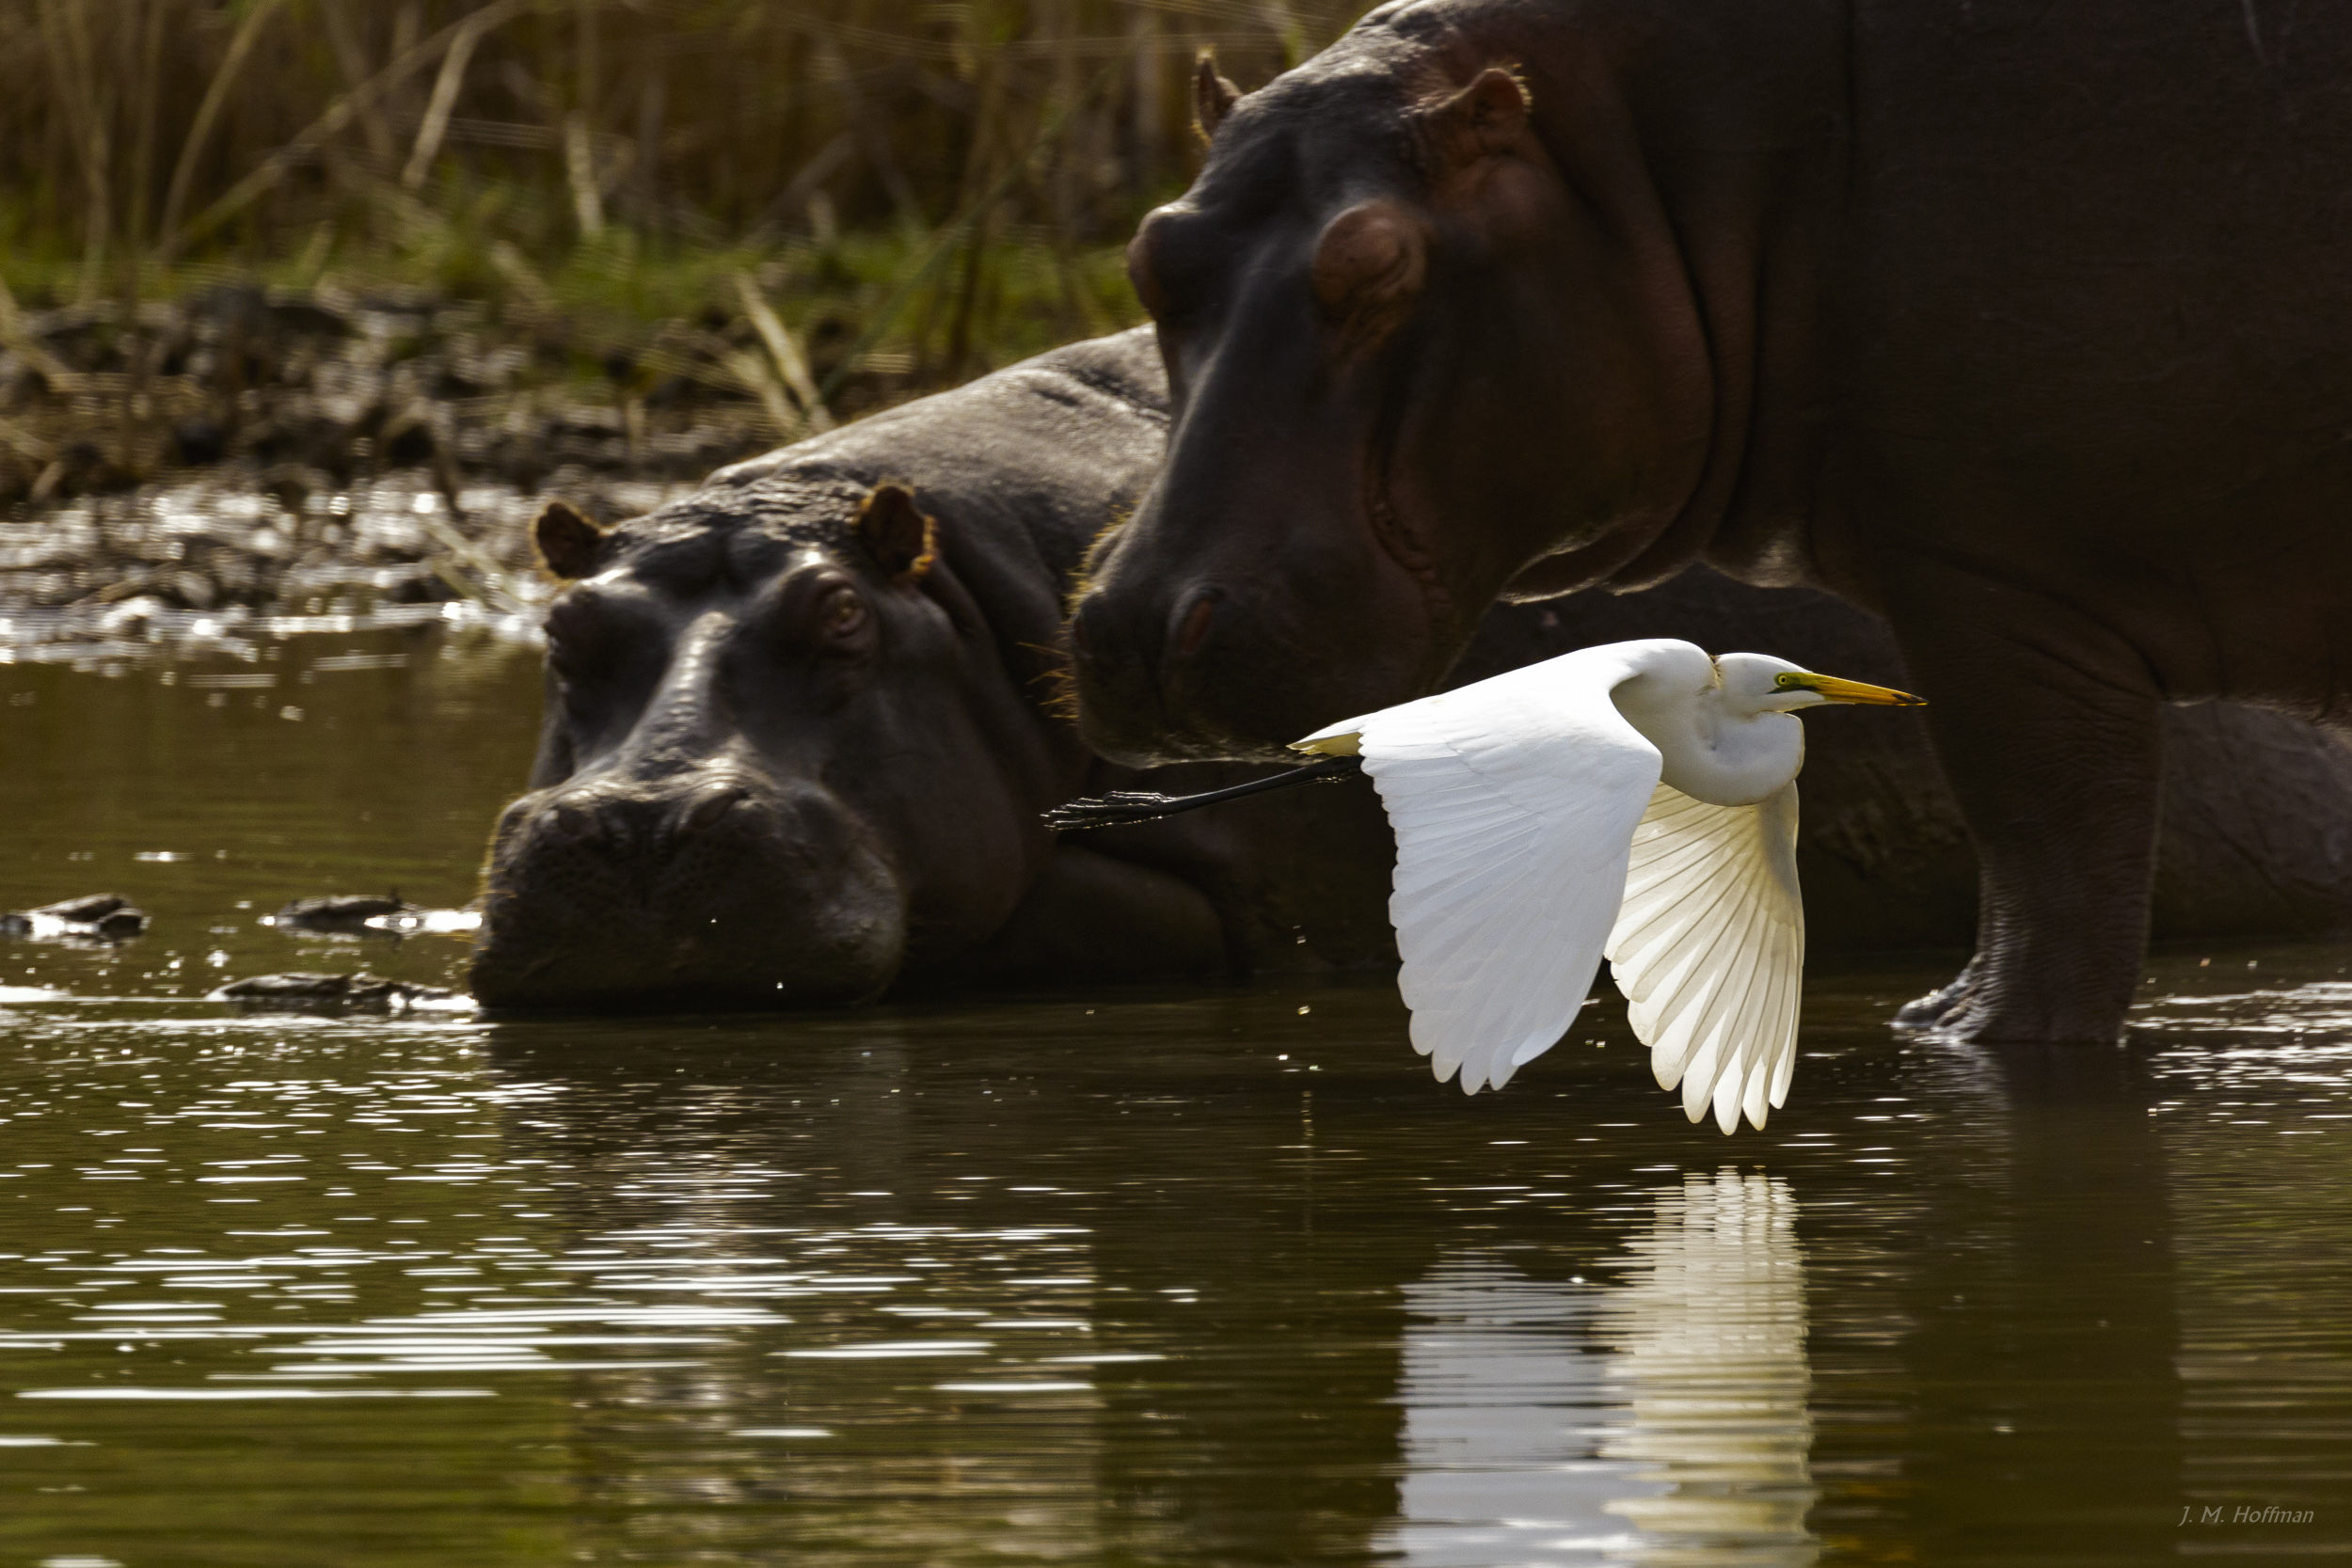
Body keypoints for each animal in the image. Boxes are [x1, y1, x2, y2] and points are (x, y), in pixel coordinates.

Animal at [1068, 0, 2352, 1046]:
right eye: (1148, 251)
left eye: (1377, 263)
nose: (1137, 624)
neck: (1640, 149)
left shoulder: (1997, 586)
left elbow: (2047, 883)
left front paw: (1958, 1028)